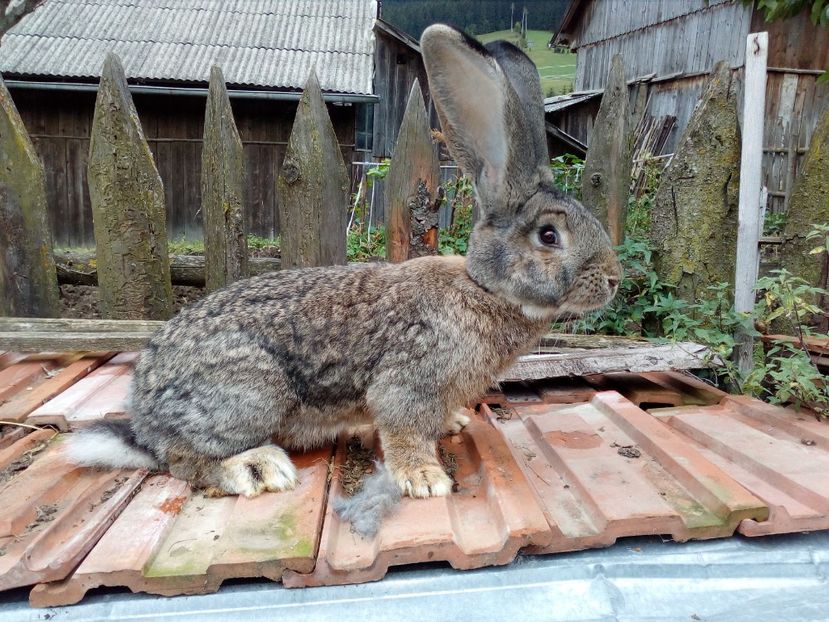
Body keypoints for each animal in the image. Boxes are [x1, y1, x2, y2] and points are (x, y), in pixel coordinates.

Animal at [66, 24, 620, 528]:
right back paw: (256, 469)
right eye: (549, 236)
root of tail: (145, 414)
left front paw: (455, 422)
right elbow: (401, 429)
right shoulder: (406, 384)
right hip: (251, 392)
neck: (485, 289)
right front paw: (425, 479)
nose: (614, 280)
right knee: (184, 461)